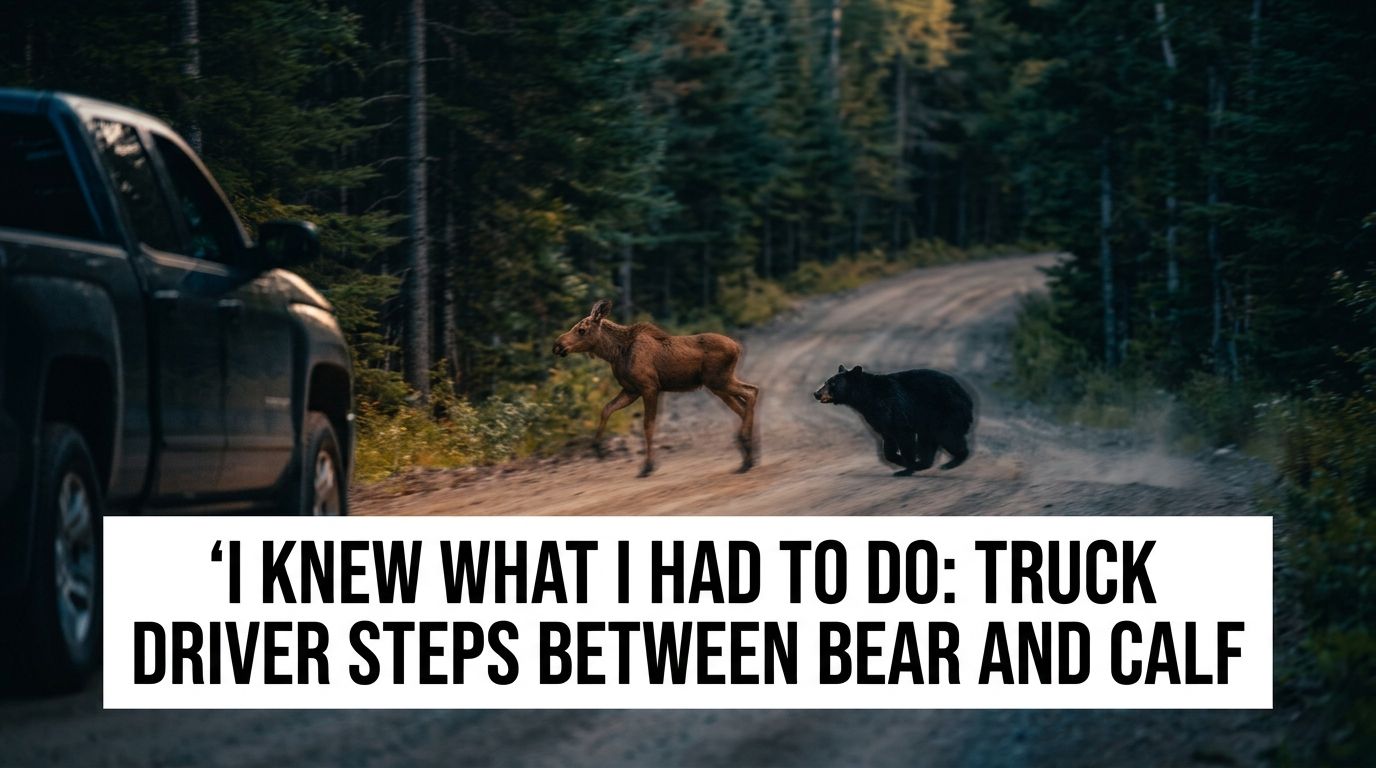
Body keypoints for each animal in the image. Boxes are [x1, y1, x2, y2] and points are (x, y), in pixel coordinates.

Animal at [553, 299, 760, 477]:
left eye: (581, 330)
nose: (557, 345)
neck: (615, 353)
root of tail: (738, 347)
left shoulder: (649, 387)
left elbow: (648, 425)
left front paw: (648, 466)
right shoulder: (631, 390)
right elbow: (606, 409)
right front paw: (597, 448)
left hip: (719, 380)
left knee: (751, 393)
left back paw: (745, 447)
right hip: (719, 384)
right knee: (745, 402)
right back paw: (748, 458)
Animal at [813, 364, 976, 475]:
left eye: (832, 383)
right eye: (826, 382)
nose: (816, 393)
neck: (866, 398)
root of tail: (967, 397)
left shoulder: (893, 408)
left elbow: (904, 436)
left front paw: (906, 467)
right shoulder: (878, 418)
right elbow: (887, 442)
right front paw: (899, 460)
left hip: (943, 412)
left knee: (948, 436)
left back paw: (951, 462)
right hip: (929, 421)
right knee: (927, 442)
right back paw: (923, 463)